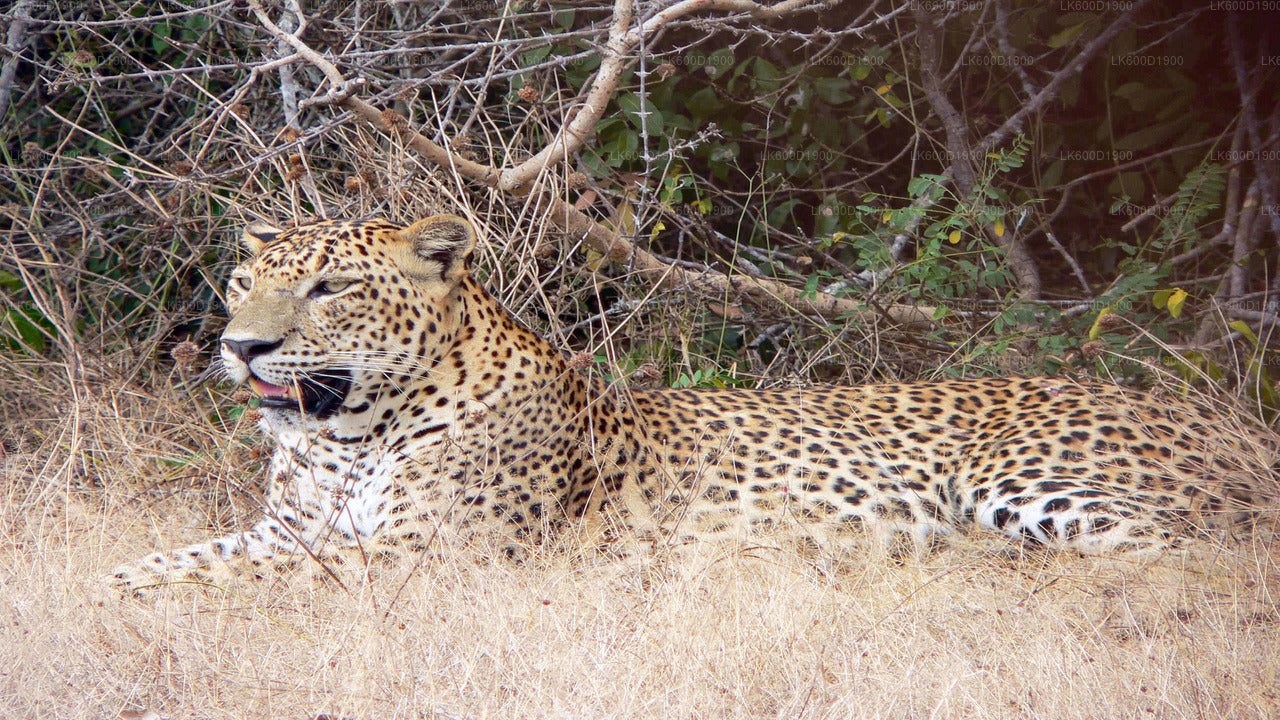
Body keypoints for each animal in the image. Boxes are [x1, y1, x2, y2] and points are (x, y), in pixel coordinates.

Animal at [112, 212, 1269, 589]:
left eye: (333, 288)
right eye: (242, 281)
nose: (240, 346)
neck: (348, 433)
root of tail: (1230, 419)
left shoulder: (427, 555)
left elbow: (210, 581)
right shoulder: (290, 532)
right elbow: (172, 561)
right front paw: (96, 592)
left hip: (1034, 482)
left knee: (1188, 559)